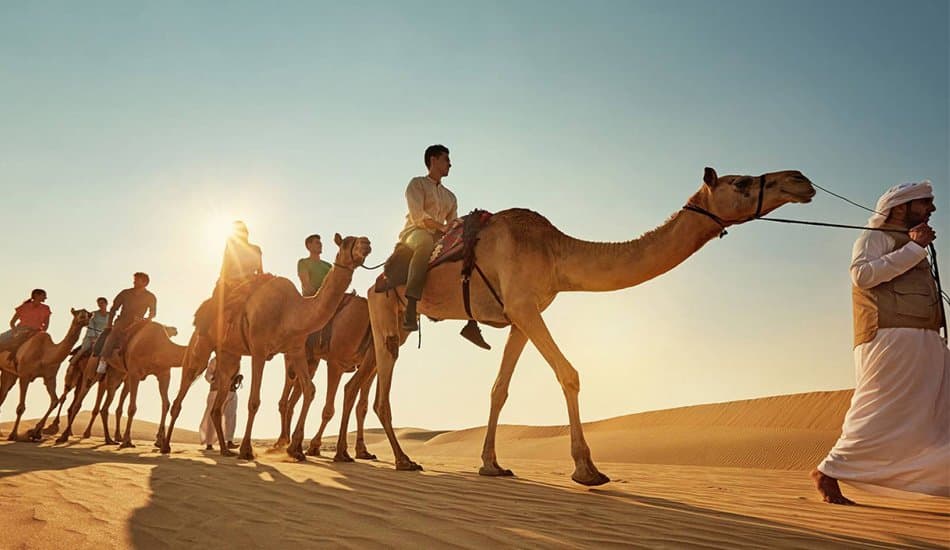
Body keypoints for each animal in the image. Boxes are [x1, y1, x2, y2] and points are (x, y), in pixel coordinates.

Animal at [0, 308, 92, 441]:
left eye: (88, 314)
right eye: (78, 313)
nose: (85, 319)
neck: (45, 354)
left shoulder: (49, 378)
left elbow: (55, 401)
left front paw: (35, 432)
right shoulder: (25, 375)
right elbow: (21, 408)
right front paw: (14, 435)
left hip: (9, 372)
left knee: (3, 393)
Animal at [270, 293, 378, 459]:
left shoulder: (371, 366)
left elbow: (362, 406)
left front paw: (362, 451)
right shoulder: (335, 363)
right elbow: (328, 409)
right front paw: (314, 447)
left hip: (311, 361)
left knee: (295, 394)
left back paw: (289, 442)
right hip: (295, 357)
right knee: (288, 393)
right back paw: (283, 441)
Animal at [335, 167, 816, 486]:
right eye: (742, 182)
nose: (800, 179)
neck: (553, 251)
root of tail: (376, 277)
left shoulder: (521, 315)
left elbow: (500, 389)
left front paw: (491, 464)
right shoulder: (526, 307)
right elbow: (570, 374)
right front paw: (587, 468)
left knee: (368, 381)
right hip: (384, 311)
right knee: (380, 387)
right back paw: (401, 460)